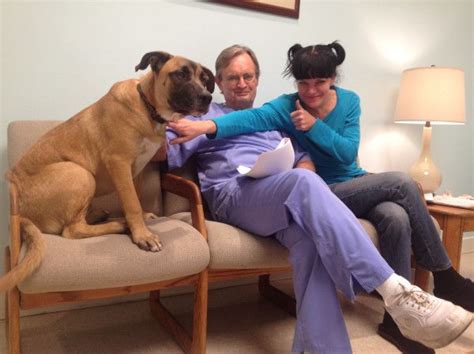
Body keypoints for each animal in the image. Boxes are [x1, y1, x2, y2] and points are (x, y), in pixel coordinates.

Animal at [1, 51, 215, 292]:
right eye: (180, 74)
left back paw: (101, 216)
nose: (207, 97)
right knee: (72, 230)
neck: (148, 108)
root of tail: (21, 213)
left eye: (204, 79)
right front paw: (142, 235)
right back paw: (119, 225)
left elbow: (135, 199)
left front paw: (141, 219)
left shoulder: (136, 170)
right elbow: (131, 203)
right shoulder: (119, 163)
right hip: (80, 173)